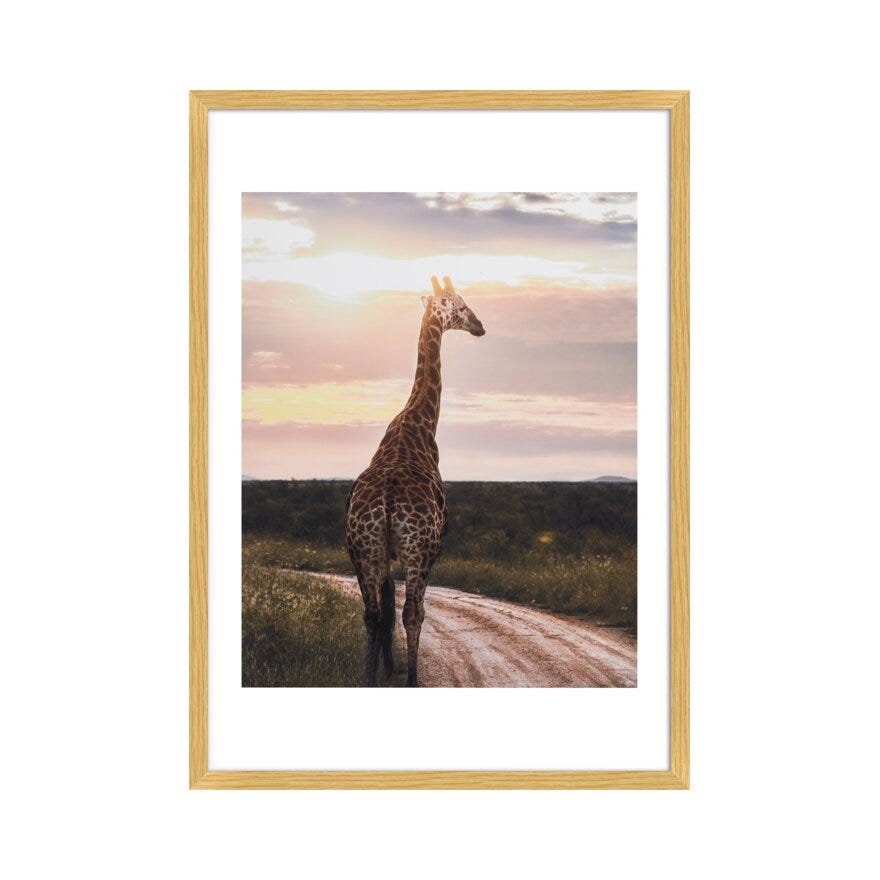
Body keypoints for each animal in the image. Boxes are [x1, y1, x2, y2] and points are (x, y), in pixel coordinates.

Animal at [345, 276, 485, 686]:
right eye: (460, 305)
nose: (479, 325)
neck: (417, 423)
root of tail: (388, 504)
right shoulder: (429, 549)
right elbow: (409, 611)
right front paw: (401, 670)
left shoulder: (383, 554)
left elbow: (384, 610)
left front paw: (384, 668)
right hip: (418, 550)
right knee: (412, 612)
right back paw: (411, 679)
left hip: (363, 551)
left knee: (373, 614)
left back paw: (368, 679)